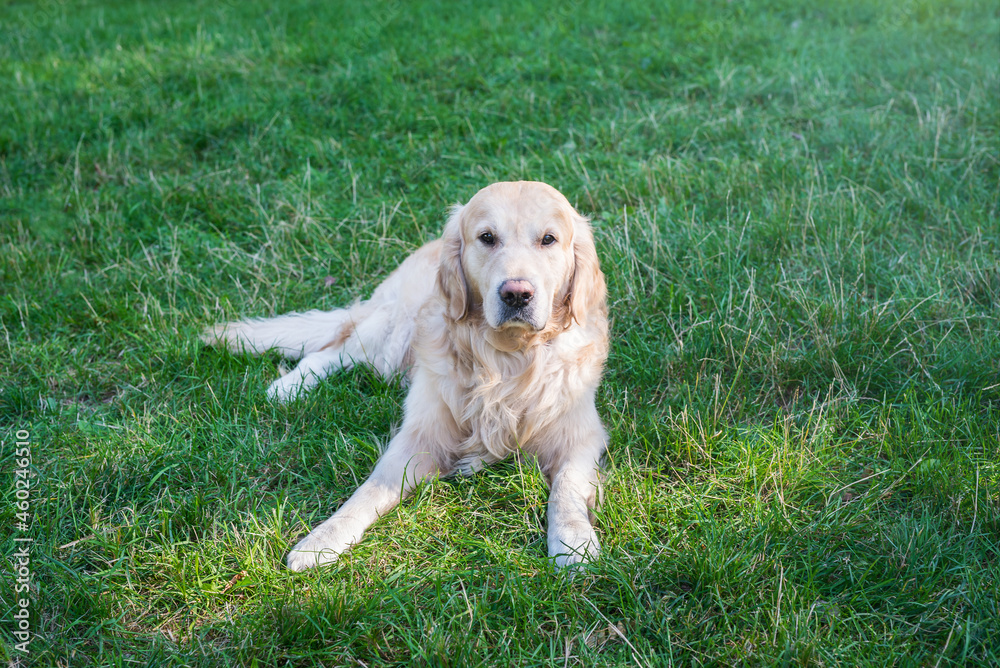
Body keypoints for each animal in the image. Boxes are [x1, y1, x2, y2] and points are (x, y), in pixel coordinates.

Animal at [204, 180, 608, 572]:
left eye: (549, 239)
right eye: (487, 237)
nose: (516, 294)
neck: (508, 359)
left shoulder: (581, 435)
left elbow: (566, 489)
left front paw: (573, 540)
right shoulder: (421, 433)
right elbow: (372, 487)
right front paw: (323, 539)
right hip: (390, 333)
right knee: (333, 348)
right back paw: (288, 387)